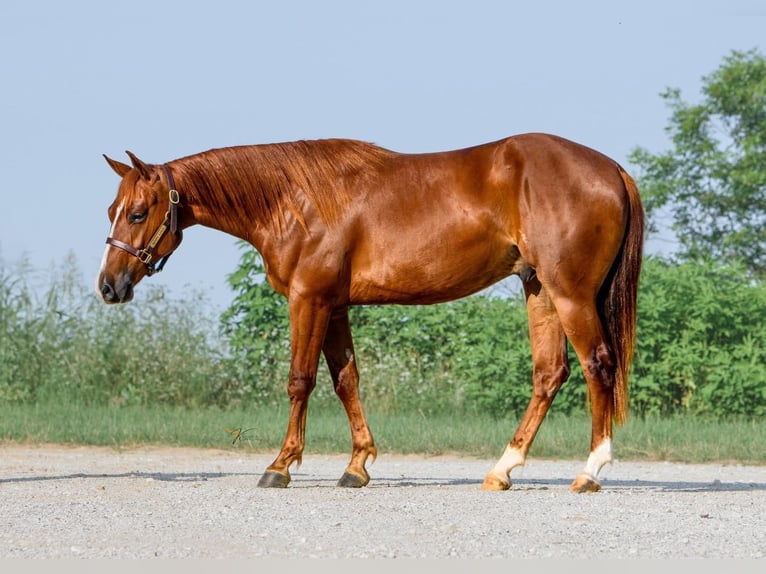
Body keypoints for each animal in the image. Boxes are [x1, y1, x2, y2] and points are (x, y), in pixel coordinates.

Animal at [97, 133, 644, 492]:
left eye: (139, 212)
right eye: (112, 211)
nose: (109, 286)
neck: (296, 201)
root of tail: (610, 168)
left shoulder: (309, 300)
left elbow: (300, 381)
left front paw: (281, 465)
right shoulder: (335, 306)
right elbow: (347, 382)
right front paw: (357, 465)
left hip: (570, 294)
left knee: (597, 365)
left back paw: (590, 471)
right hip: (539, 290)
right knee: (549, 374)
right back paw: (502, 470)